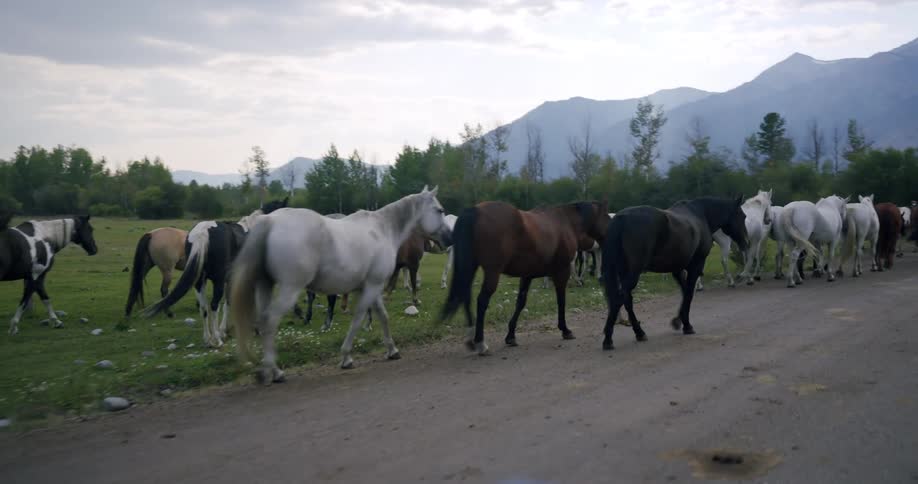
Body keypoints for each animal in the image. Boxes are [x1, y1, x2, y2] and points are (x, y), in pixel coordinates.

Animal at [142, 198, 288, 347]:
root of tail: (203, 232)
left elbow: (228, 303)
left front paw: (225, 331)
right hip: (216, 281)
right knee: (213, 305)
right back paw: (217, 339)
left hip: (200, 282)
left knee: (204, 307)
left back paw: (208, 339)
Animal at [231, 186, 452, 382]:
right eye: (439, 210)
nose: (450, 238)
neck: (383, 230)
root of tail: (269, 222)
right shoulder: (372, 286)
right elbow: (359, 318)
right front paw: (346, 357)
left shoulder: (370, 287)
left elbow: (383, 316)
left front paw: (392, 350)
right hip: (289, 289)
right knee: (269, 321)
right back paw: (275, 372)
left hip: (265, 286)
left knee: (262, 321)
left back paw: (267, 369)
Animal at [441, 200, 610, 354]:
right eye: (607, 217)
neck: (565, 222)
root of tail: (475, 211)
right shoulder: (562, 272)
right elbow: (561, 300)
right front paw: (565, 329)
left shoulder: (527, 275)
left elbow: (520, 303)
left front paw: (511, 336)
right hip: (492, 272)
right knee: (482, 301)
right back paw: (480, 342)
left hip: (470, 267)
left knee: (465, 298)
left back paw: (471, 339)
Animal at [600, 197, 747, 351]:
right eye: (743, 216)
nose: (745, 242)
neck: (700, 215)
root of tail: (621, 218)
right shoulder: (695, 266)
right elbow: (689, 294)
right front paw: (686, 325)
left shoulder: (677, 269)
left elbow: (685, 292)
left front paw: (679, 321)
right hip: (633, 273)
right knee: (619, 299)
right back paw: (608, 339)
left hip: (624, 272)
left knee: (626, 300)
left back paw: (639, 333)